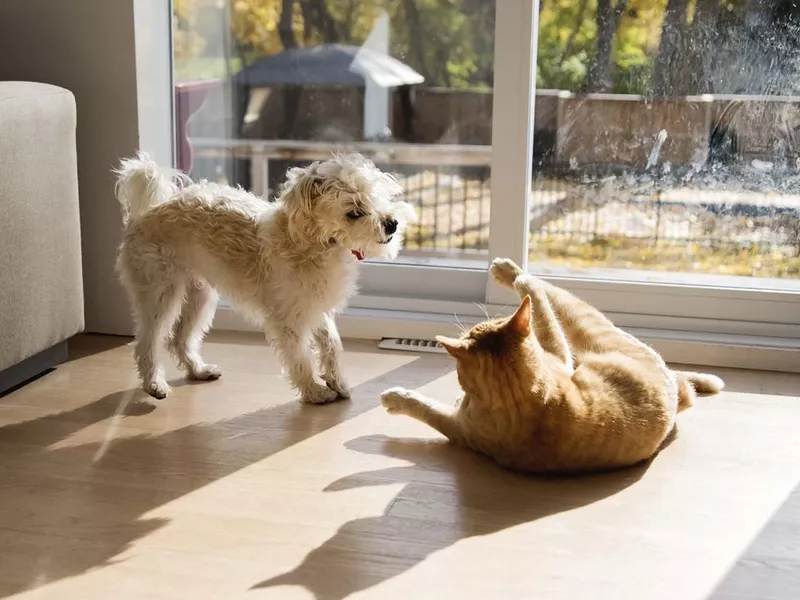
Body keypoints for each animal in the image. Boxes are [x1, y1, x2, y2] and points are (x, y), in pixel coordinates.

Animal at [115, 151, 416, 404]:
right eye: (354, 212)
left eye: (377, 197)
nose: (392, 224)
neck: (313, 243)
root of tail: (147, 211)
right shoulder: (289, 320)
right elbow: (300, 357)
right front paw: (315, 392)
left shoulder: (313, 307)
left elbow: (331, 343)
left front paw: (338, 383)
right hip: (161, 294)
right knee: (147, 342)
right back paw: (154, 384)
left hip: (200, 296)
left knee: (179, 338)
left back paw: (198, 370)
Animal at [382, 258, 724, 474]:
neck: (518, 398)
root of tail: (673, 391)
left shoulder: (457, 427)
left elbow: (424, 407)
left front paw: (395, 397)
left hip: (590, 329)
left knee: (543, 290)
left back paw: (510, 270)